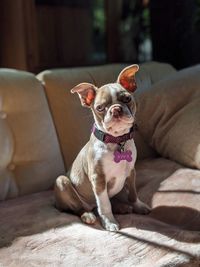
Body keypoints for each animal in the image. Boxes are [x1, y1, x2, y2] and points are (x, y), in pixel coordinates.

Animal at [54, 65, 151, 232]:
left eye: (127, 99)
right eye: (99, 108)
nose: (116, 109)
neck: (117, 141)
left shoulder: (131, 172)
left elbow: (132, 193)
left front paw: (138, 206)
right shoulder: (98, 179)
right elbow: (104, 204)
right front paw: (109, 221)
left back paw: (122, 207)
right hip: (62, 183)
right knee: (79, 208)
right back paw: (88, 215)